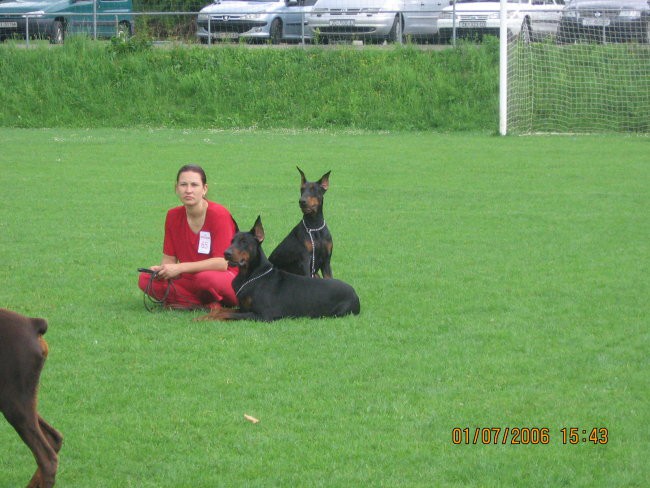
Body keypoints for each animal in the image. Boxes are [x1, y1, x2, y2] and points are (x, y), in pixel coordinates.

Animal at [197, 215, 360, 322]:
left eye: (244, 242)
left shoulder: (262, 315)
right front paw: (204, 316)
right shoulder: (244, 308)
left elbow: (226, 314)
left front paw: (203, 318)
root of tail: (355, 293)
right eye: (232, 241)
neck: (249, 276)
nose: (226, 253)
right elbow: (222, 310)